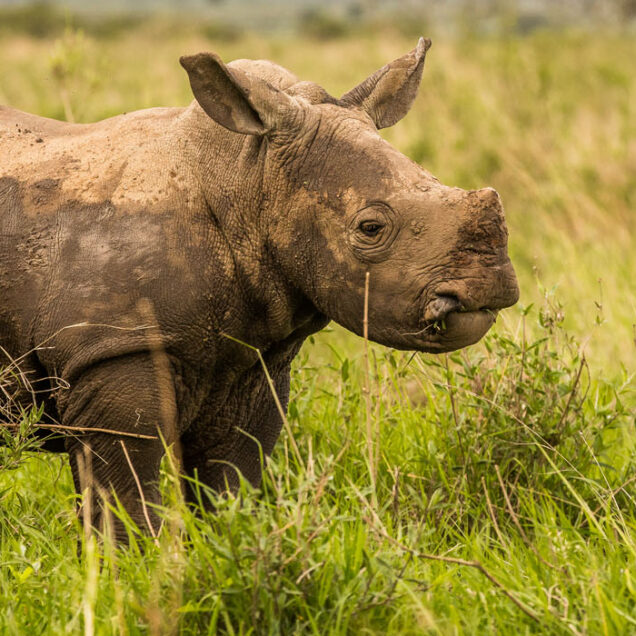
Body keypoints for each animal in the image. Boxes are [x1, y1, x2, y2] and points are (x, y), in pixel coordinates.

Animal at [0, 38, 516, 536]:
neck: (248, 181)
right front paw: (128, 564)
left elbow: (231, 485)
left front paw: (227, 545)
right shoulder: (114, 347)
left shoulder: (252, 359)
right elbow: (125, 502)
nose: (486, 286)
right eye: (370, 228)